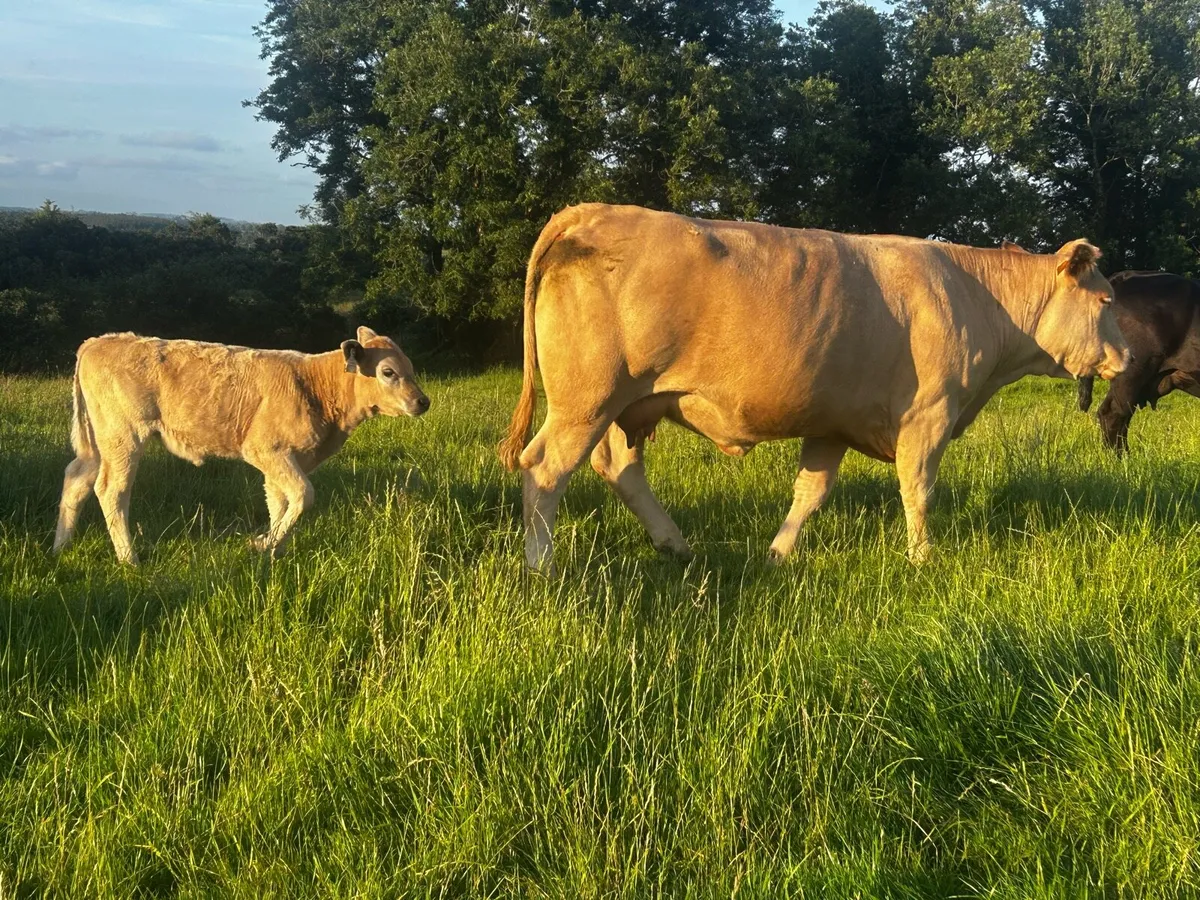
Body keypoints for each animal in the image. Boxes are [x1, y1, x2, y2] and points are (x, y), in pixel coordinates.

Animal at [52, 326, 429, 564]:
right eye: (389, 372)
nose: (423, 401)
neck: (315, 385)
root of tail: (98, 341)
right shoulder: (267, 450)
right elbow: (303, 495)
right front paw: (266, 543)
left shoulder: (282, 459)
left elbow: (279, 502)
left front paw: (271, 550)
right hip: (123, 436)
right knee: (111, 490)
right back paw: (129, 558)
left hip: (98, 442)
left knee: (76, 479)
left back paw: (60, 547)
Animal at [499, 204, 1129, 572]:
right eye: (1105, 300)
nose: (1127, 357)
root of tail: (593, 210)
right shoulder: (929, 415)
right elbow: (918, 490)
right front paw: (923, 559)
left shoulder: (832, 422)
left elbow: (811, 493)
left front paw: (778, 555)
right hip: (587, 400)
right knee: (545, 470)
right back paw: (541, 568)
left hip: (624, 405)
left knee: (619, 469)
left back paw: (674, 544)